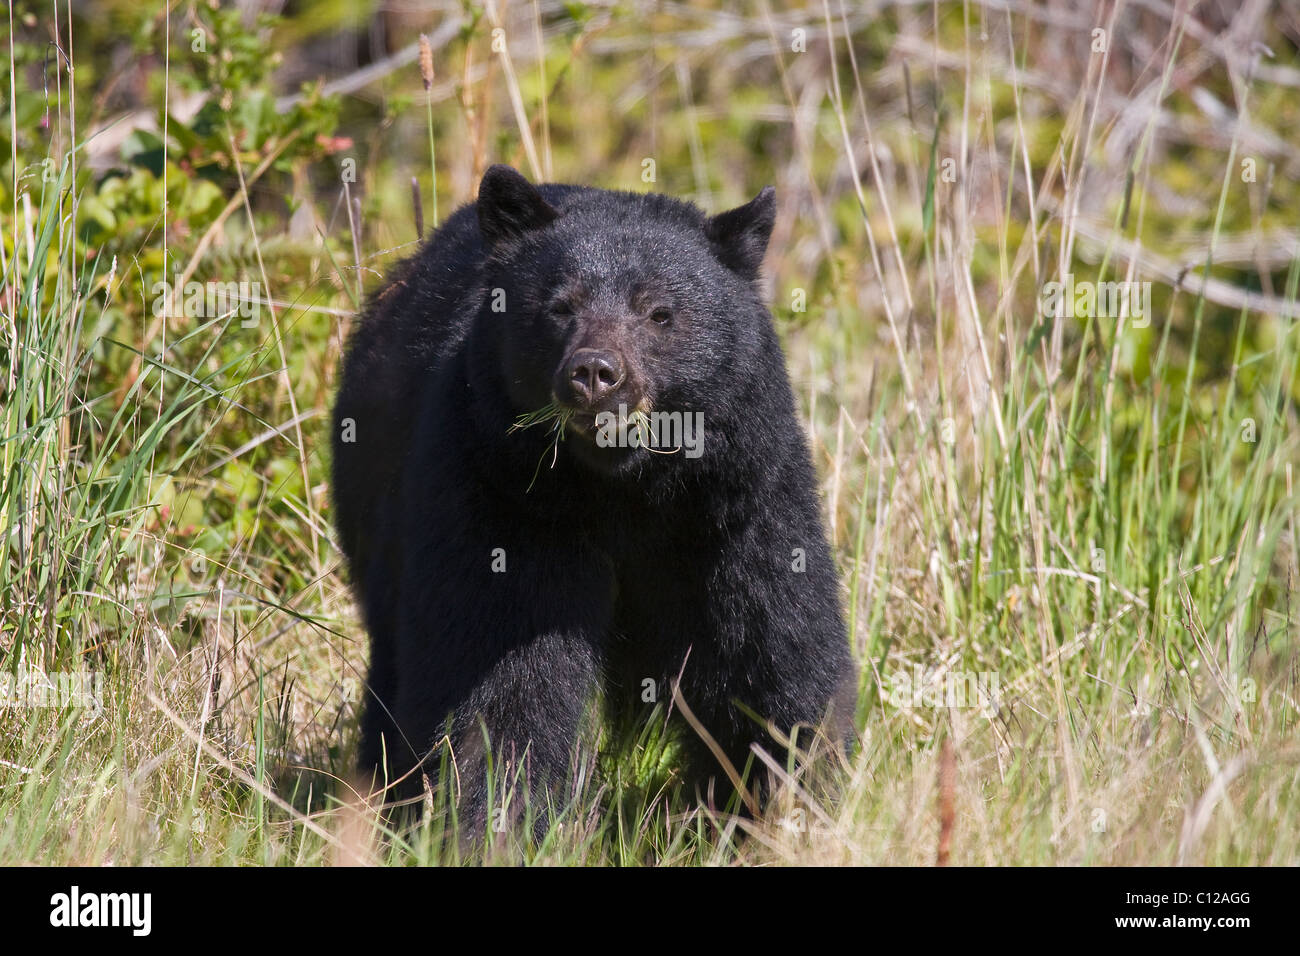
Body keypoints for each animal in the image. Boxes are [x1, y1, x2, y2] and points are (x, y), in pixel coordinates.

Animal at [331, 164, 855, 832]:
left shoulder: (736, 504)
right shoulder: (501, 496)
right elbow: (499, 674)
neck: (623, 490)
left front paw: (785, 805)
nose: (595, 373)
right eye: (559, 306)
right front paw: (491, 822)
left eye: (659, 313)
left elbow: (774, 652)